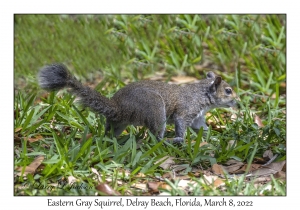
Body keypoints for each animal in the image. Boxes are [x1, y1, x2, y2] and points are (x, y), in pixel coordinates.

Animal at [38, 63, 239, 144]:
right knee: (156, 136)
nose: (237, 103)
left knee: (111, 132)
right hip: (156, 109)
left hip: (119, 123)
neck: (202, 94)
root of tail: (120, 107)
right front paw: (181, 138)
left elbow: (201, 128)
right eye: (228, 91)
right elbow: (181, 123)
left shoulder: (197, 117)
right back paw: (167, 142)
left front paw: (212, 137)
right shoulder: (186, 110)